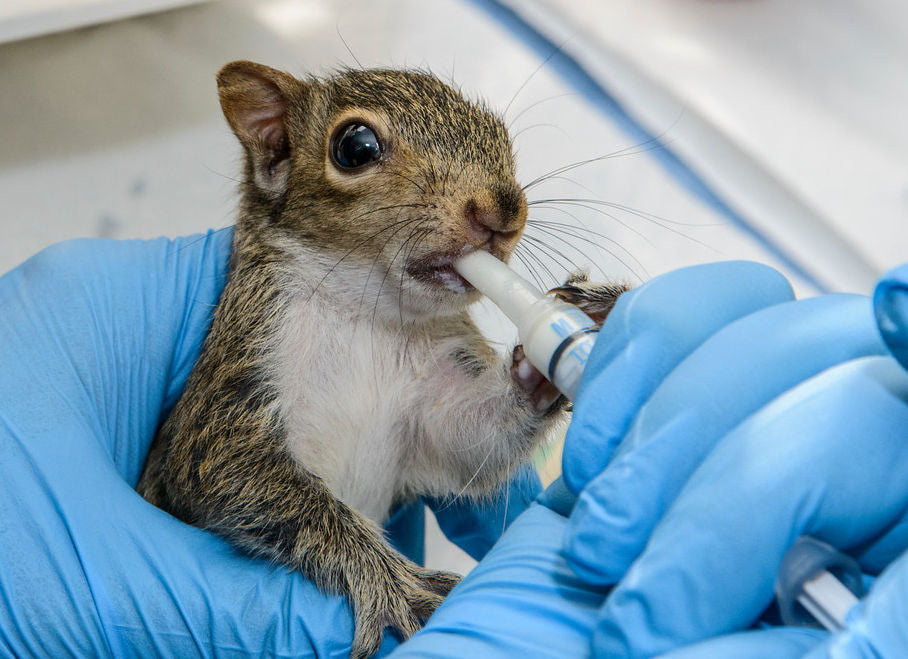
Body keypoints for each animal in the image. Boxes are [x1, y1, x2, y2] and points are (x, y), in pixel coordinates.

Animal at [137, 60, 627, 657]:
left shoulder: (431, 399)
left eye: (502, 137)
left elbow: (468, 438)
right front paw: (395, 582)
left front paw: (586, 318)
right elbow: (241, 475)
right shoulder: (237, 373)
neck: (369, 315)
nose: (504, 212)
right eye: (356, 147)